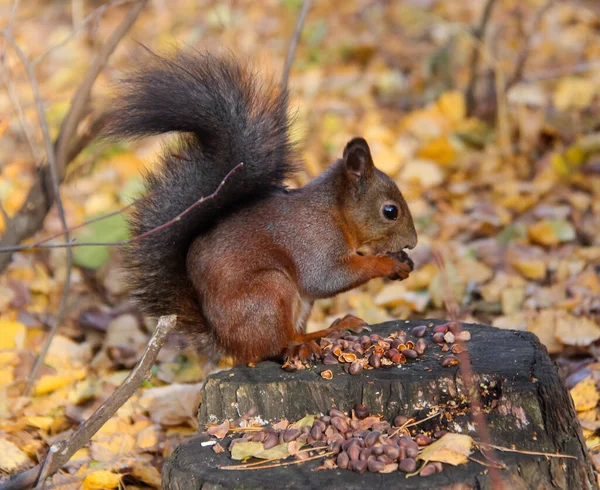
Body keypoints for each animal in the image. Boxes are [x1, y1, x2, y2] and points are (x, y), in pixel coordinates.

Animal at [104, 50, 418, 364]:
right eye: (390, 211)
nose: (413, 243)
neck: (334, 211)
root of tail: (227, 343)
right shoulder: (314, 241)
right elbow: (327, 278)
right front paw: (388, 263)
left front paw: (402, 259)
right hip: (270, 290)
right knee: (280, 342)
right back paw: (320, 336)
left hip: (295, 303)